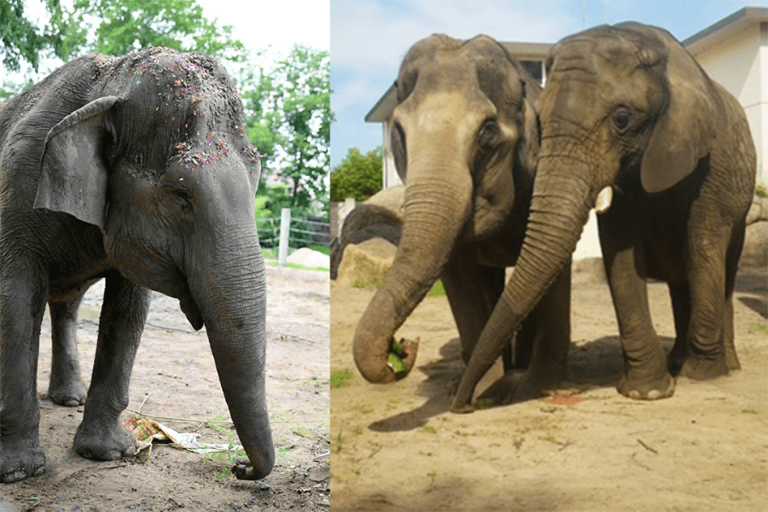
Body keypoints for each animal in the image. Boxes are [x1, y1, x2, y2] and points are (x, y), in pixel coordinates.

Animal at [0, 47, 274, 482]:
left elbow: (128, 311)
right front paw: (17, 473)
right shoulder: (16, 188)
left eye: (256, 173)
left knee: (67, 305)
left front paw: (109, 453)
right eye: (180, 196)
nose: (239, 466)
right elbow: (16, 299)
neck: (108, 82)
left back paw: (69, 399)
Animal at [350, 34, 571, 407]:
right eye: (399, 132)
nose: (405, 345)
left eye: (487, 130)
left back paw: (519, 365)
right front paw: (478, 391)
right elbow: (458, 274)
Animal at [452, 23, 756, 412]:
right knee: (679, 281)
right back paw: (678, 361)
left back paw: (725, 367)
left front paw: (700, 375)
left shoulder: (713, 161)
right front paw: (647, 391)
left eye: (622, 120)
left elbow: (703, 243)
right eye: (539, 122)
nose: (466, 402)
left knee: (721, 270)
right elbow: (620, 251)